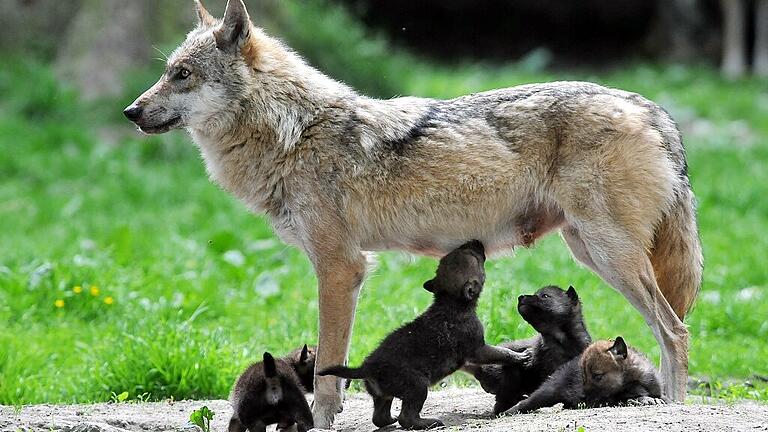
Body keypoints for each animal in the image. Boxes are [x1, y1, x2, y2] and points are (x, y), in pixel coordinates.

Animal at [124, 0, 704, 426]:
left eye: (183, 75)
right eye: (167, 73)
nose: (131, 112)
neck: (295, 133)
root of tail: (650, 106)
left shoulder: (341, 268)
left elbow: (329, 375)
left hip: (610, 256)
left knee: (674, 331)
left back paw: (673, 409)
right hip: (590, 252)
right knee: (667, 329)